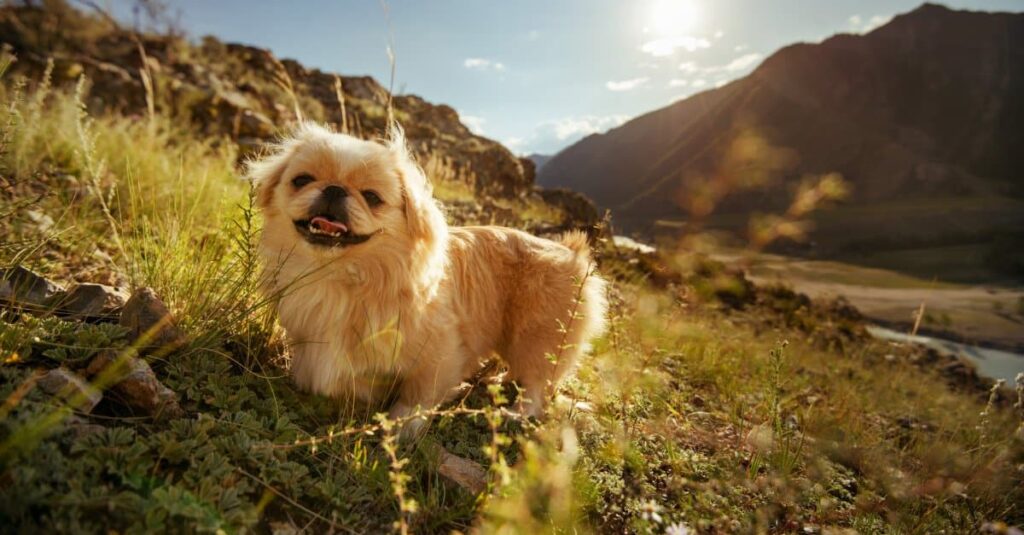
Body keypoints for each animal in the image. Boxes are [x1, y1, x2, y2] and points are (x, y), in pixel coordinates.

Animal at [248, 121, 606, 432]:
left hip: (537, 338)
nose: (334, 189)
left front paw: (402, 426)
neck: (342, 277)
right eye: (301, 180)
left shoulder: (440, 352)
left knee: (536, 386)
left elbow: (418, 395)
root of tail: (573, 255)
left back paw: (515, 412)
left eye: (372, 197)